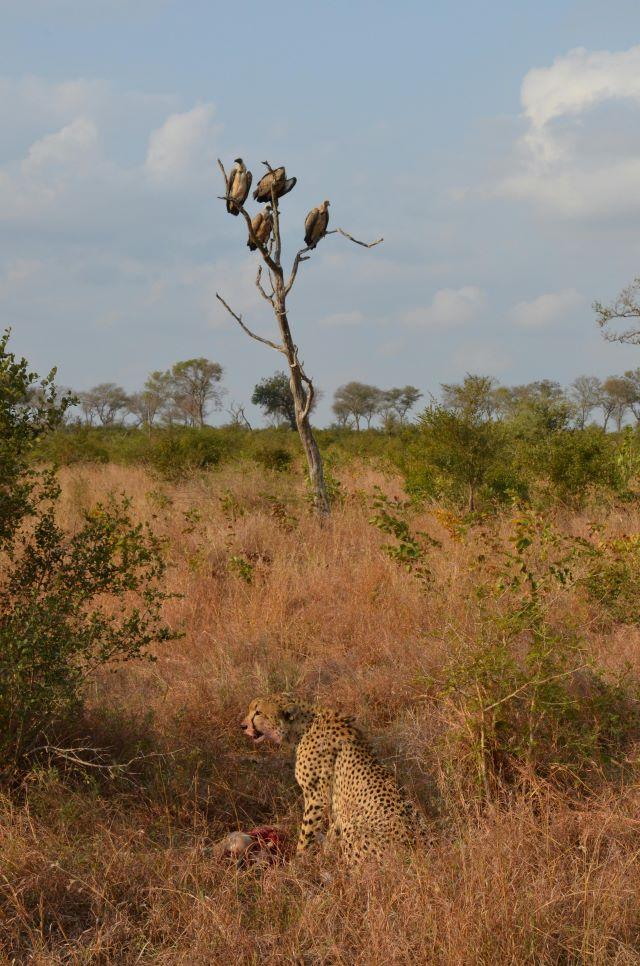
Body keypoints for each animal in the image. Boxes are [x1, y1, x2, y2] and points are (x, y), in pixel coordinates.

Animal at [240, 694, 430, 865]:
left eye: (258, 712)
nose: (242, 726)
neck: (304, 726)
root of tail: (422, 851)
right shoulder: (333, 805)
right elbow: (331, 829)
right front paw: (324, 853)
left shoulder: (317, 798)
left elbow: (306, 833)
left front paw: (298, 861)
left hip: (354, 827)